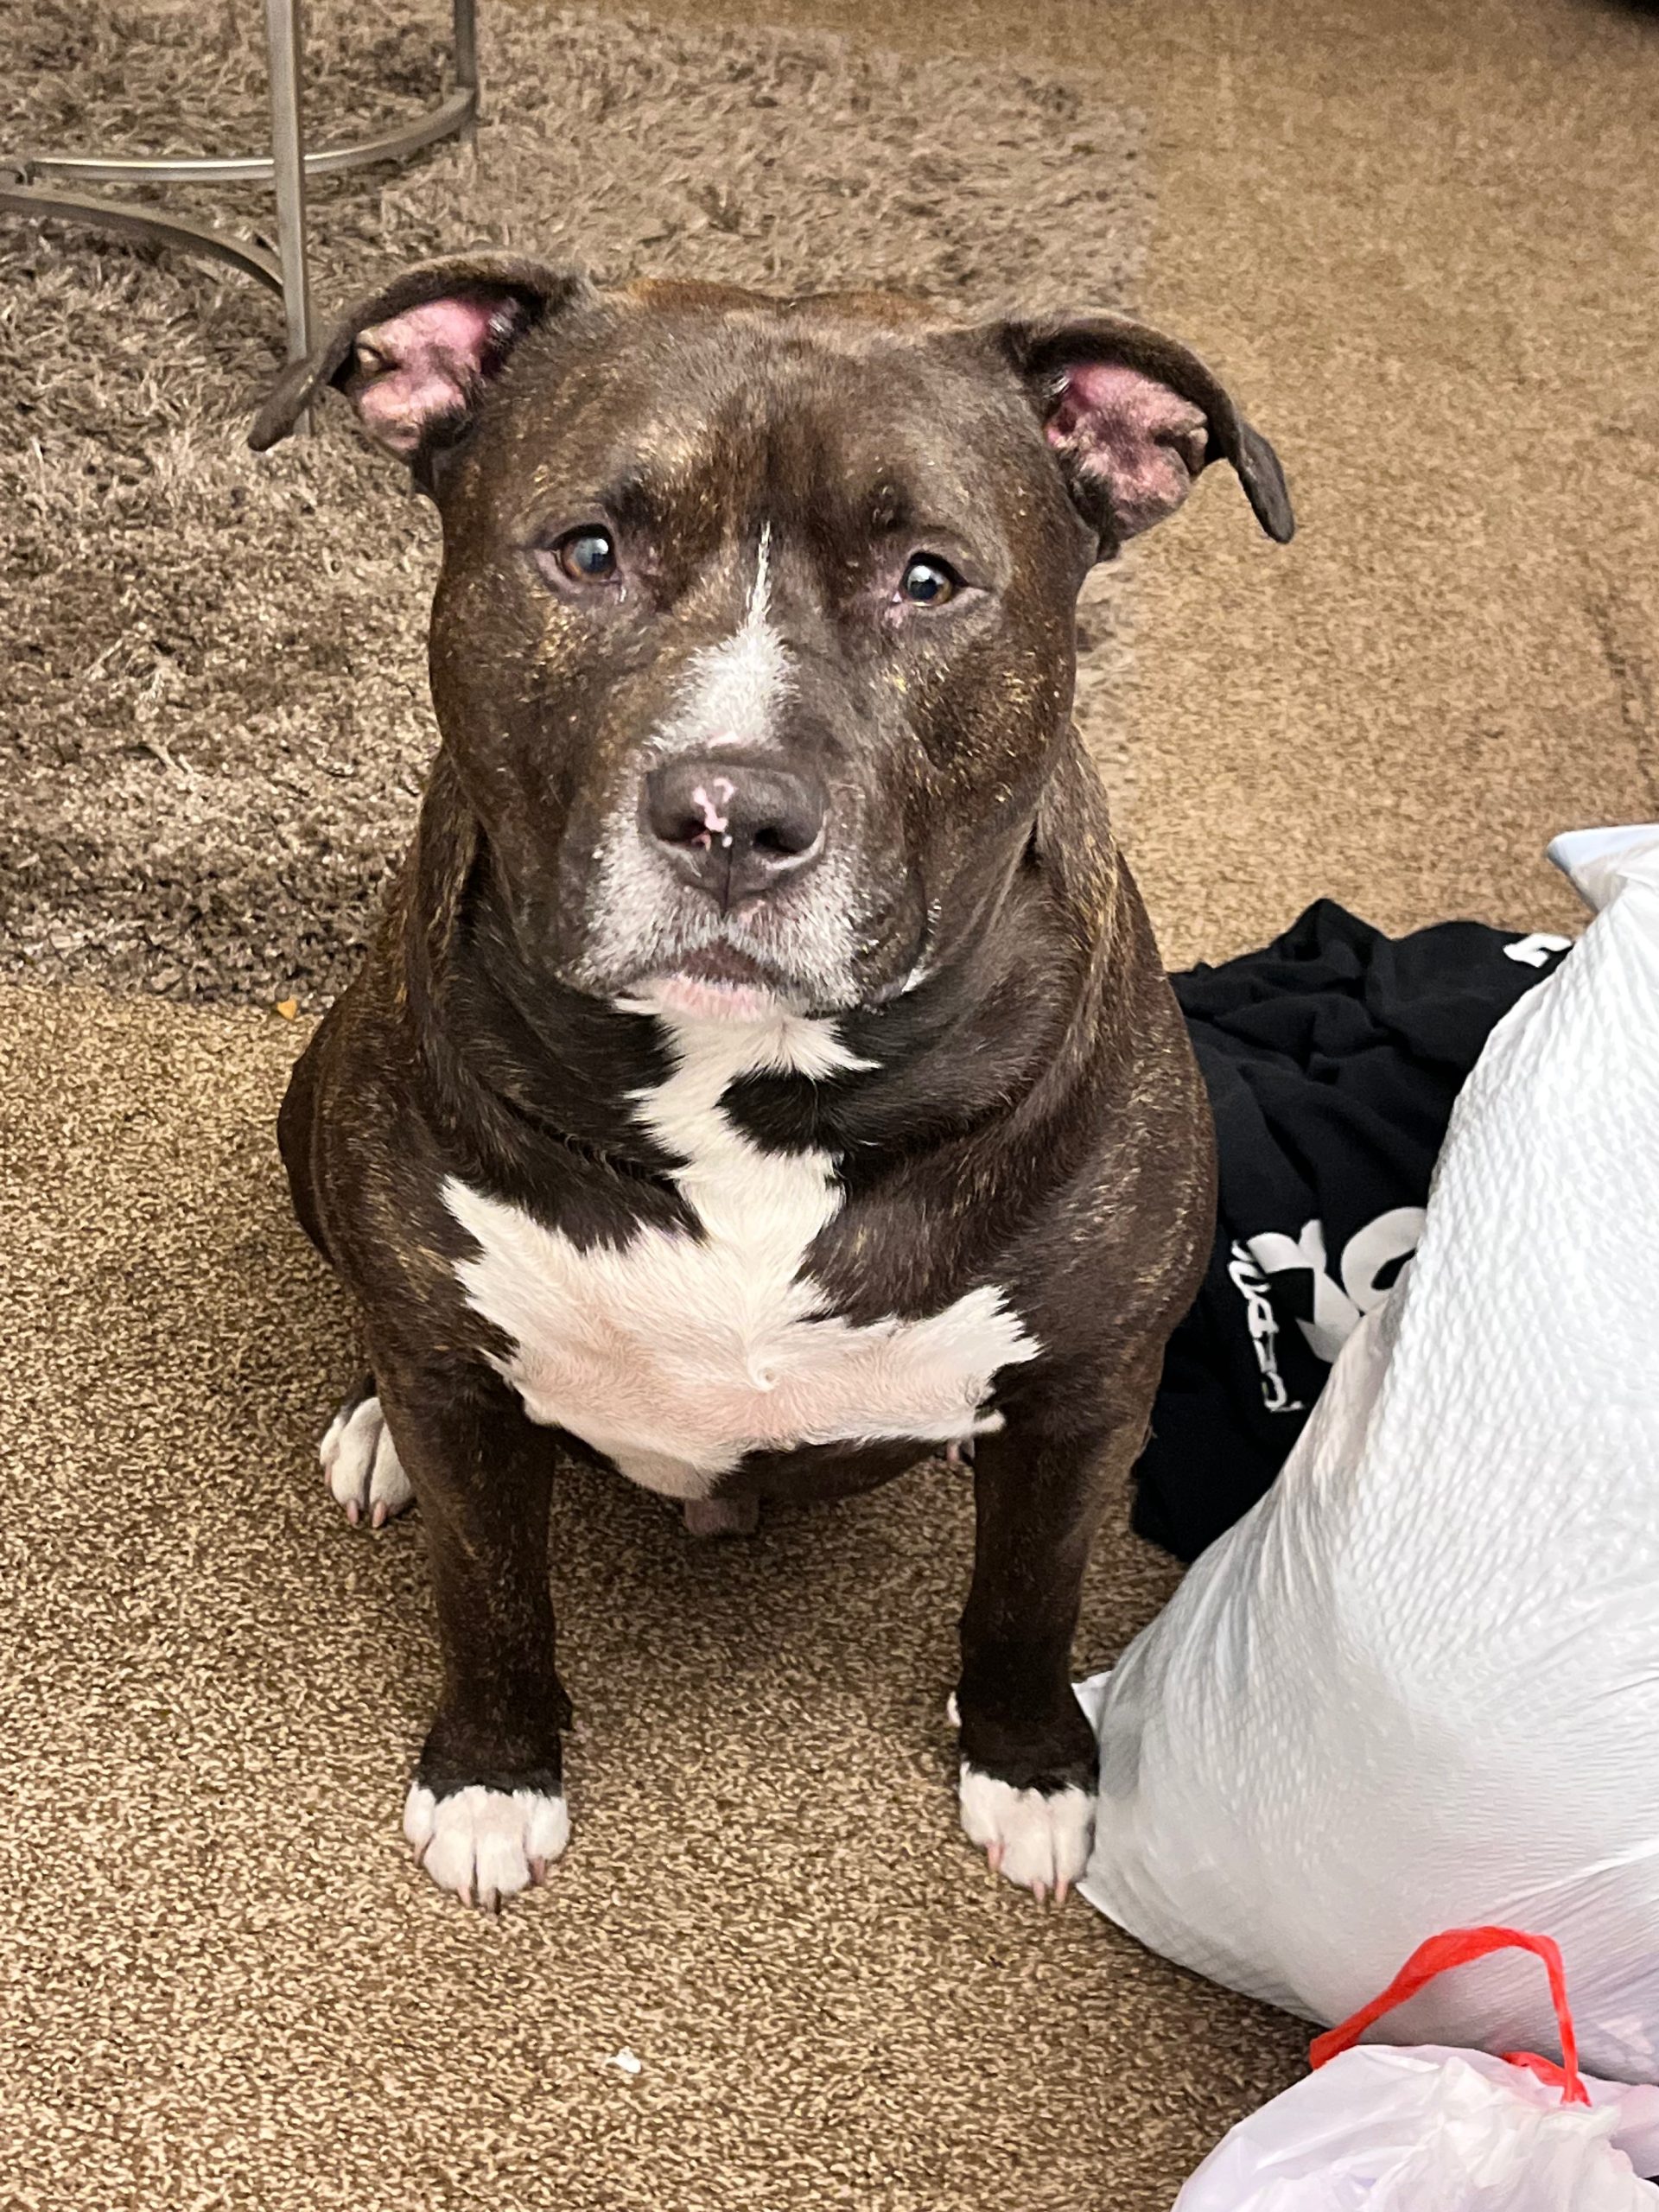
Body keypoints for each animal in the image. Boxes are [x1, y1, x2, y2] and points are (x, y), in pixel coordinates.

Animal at [251, 256, 1292, 1911]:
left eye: (928, 579)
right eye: (590, 552)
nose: (729, 812)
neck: (759, 1099)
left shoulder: (1087, 1393)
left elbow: (1032, 1591)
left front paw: (1031, 1766)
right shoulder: (468, 1409)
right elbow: (489, 1594)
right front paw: (492, 1775)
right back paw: (374, 1425)